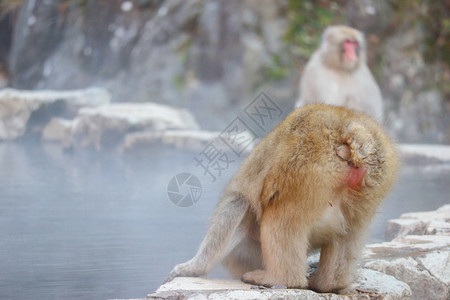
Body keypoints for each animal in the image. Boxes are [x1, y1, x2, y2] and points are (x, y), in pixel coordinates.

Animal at [168, 104, 398, 292]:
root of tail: (348, 128)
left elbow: (235, 208)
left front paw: (192, 267)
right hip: (372, 182)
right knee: (350, 230)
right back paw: (329, 283)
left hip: (302, 169)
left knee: (280, 217)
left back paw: (280, 279)